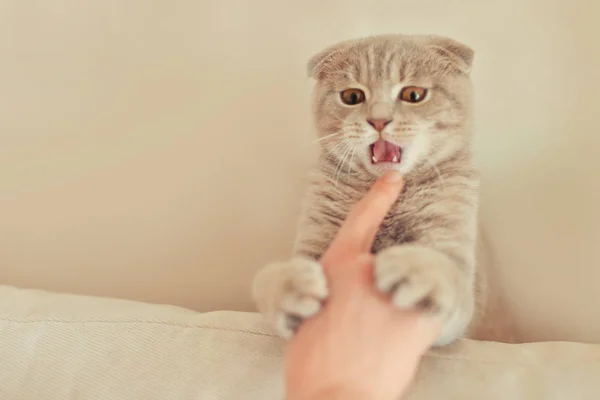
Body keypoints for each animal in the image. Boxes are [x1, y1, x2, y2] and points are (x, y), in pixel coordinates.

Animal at [253, 33, 510, 346]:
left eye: (413, 95)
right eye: (352, 97)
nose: (378, 120)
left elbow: (448, 276)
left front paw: (417, 269)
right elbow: (267, 279)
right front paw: (289, 285)